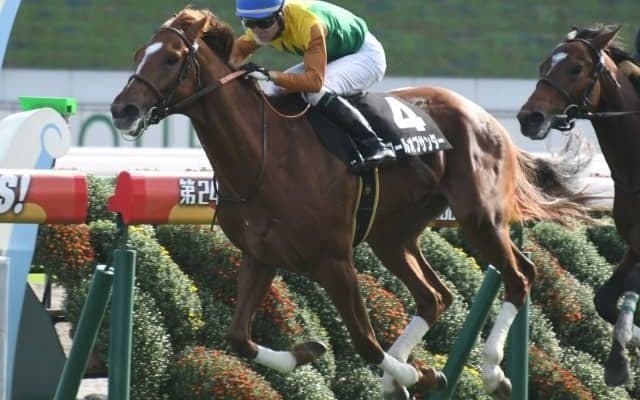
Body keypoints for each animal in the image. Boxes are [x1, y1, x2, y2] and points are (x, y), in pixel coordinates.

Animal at [110, 8, 590, 399]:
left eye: (171, 58)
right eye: (137, 54)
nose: (122, 110)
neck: (265, 156)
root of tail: (489, 119)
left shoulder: (334, 260)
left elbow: (364, 341)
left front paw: (421, 375)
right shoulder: (260, 254)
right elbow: (237, 337)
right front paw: (306, 353)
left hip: (480, 219)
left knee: (519, 276)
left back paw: (491, 373)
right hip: (392, 235)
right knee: (435, 296)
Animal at [518, 25, 640, 387]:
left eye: (575, 68)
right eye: (544, 65)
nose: (529, 118)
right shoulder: (634, 243)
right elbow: (604, 300)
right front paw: (619, 361)